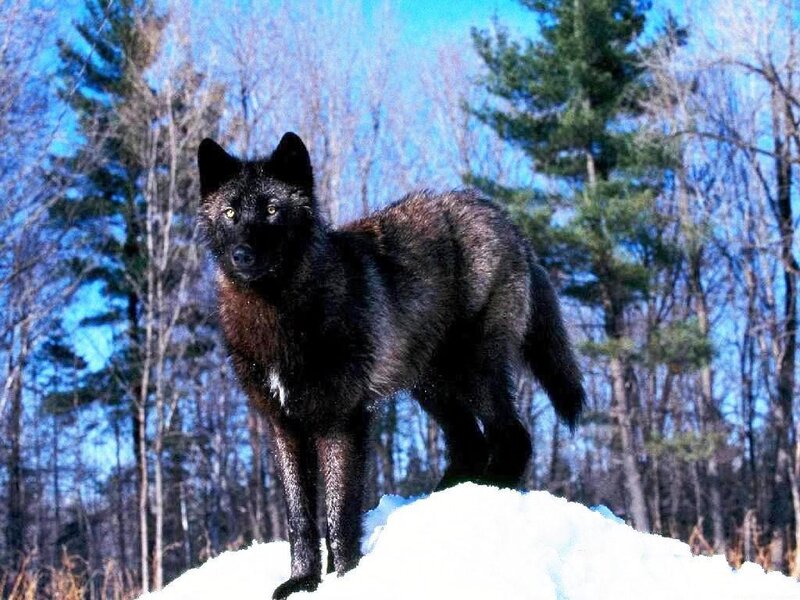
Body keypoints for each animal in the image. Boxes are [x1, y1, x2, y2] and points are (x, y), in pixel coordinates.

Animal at [197, 132, 585, 598]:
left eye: (272, 209)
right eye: (231, 213)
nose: (242, 255)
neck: (280, 314)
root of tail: (501, 216)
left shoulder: (342, 420)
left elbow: (339, 512)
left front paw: (347, 577)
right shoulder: (284, 427)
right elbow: (300, 519)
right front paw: (302, 581)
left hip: (475, 372)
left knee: (513, 437)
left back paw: (489, 492)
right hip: (432, 387)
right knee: (470, 444)